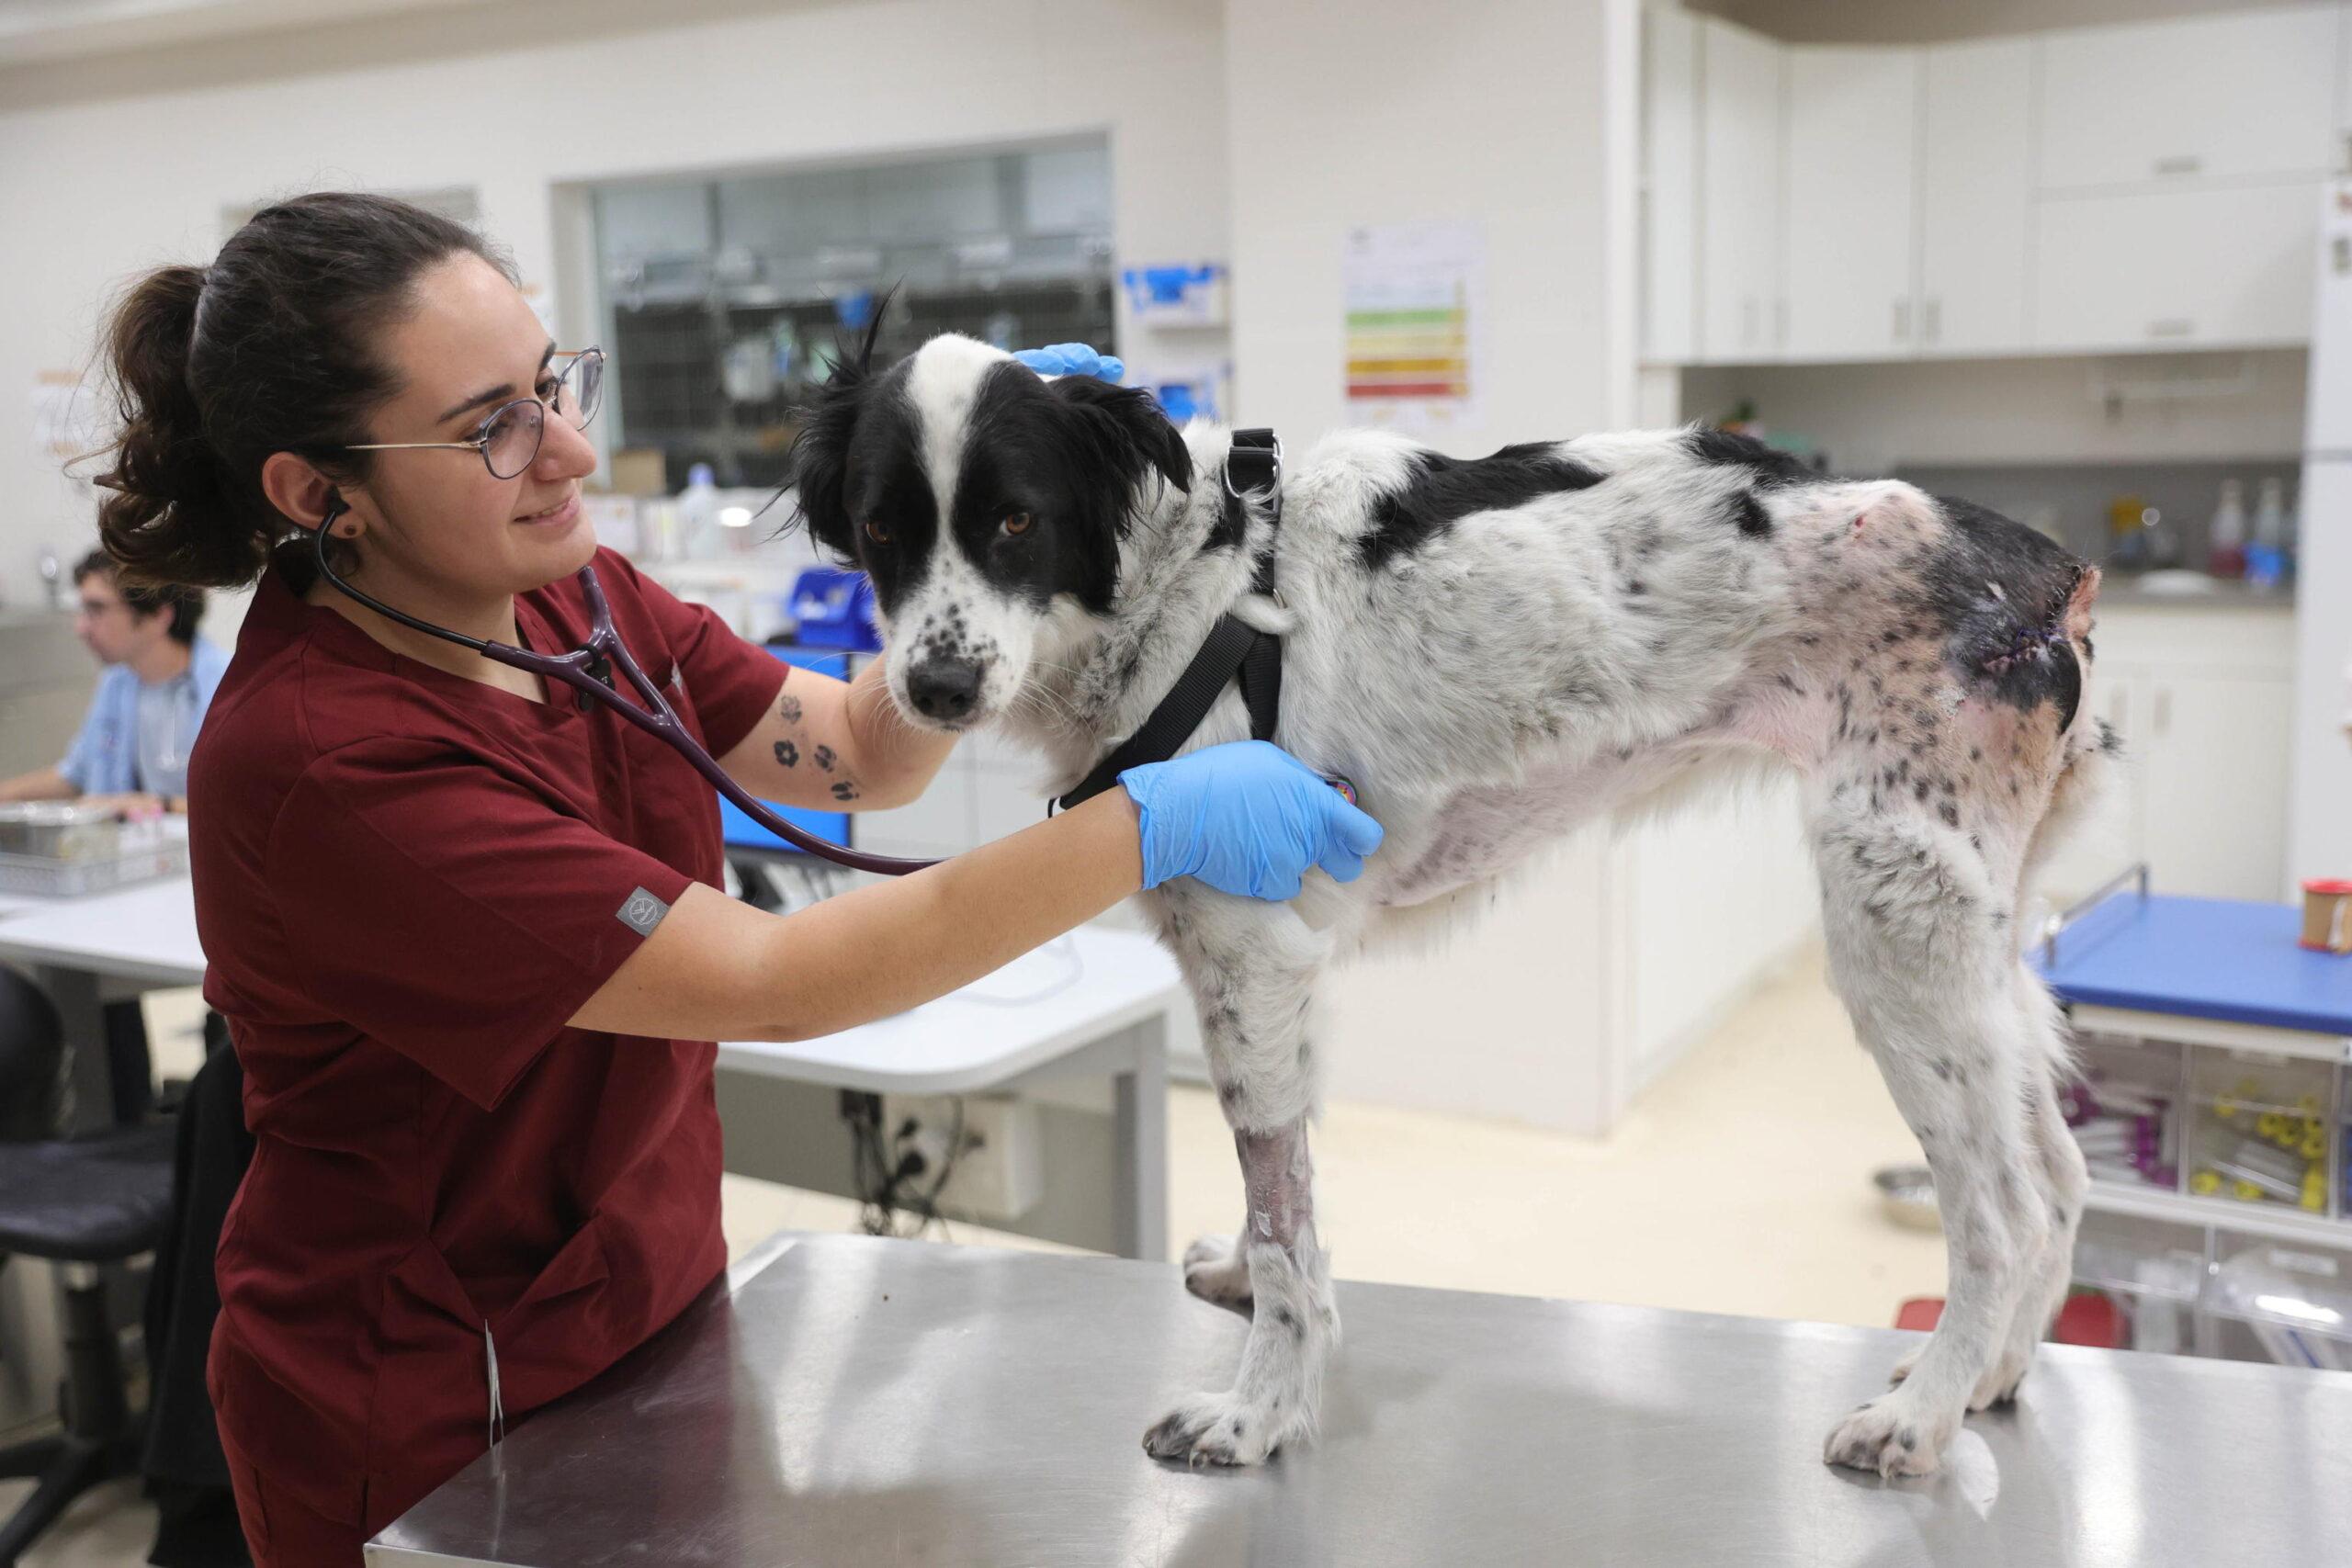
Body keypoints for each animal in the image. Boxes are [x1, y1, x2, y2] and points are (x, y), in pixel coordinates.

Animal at [795, 333, 2117, 1485]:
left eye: (1014, 518)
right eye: (881, 527)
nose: (932, 688)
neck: (1178, 580)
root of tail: (2043, 566)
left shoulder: (1249, 952)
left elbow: (1285, 1220)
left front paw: (1258, 1410)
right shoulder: (1271, 962)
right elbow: (1282, 1188)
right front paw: (1253, 1299)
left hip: (1892, 922)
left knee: (1999, 1211)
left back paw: (1923, 1413)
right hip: (1975, 938)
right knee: (2059, 1173)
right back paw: (1996, 1375)